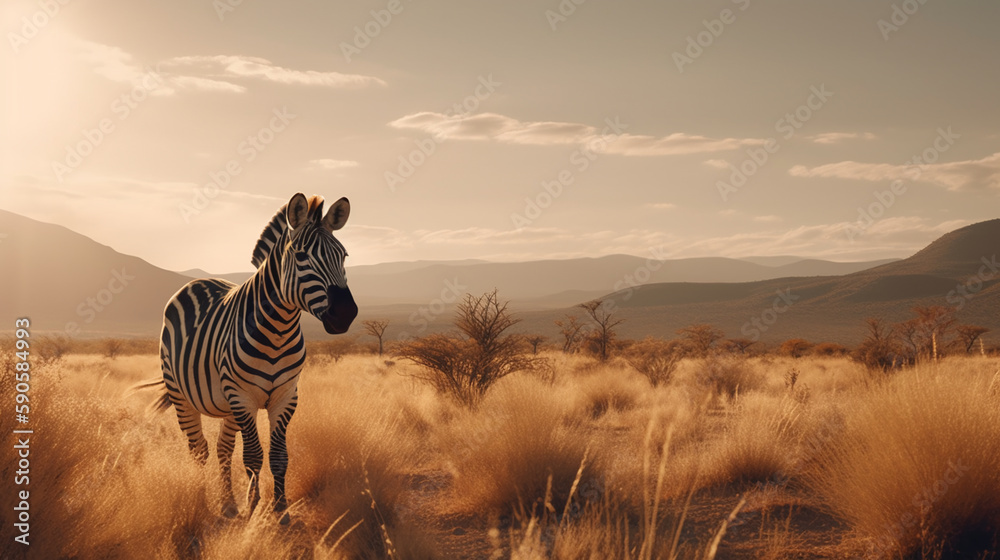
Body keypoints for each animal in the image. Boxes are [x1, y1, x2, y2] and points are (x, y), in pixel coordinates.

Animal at [140, 193, 358, 523]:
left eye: (343, 256)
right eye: (301, 256)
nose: (345, 313)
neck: (279, 330)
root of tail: (198, 281)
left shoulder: (285, 397)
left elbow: (279, 456)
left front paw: (280, 511)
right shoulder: (242, 397)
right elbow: (253, 456)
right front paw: (253, 509)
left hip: (228, 404)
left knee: (222, 448)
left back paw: (228, 504)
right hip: (183, 394)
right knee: (199, 449)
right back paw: (201, 502)